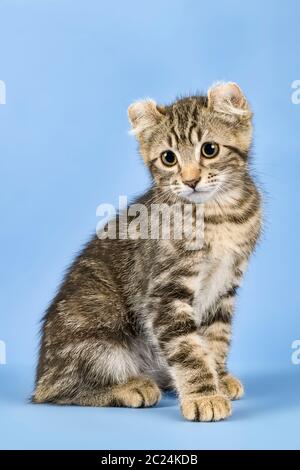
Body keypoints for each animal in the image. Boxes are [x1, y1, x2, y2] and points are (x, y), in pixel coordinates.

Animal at [33, 81, 262, 422]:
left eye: (209, 149)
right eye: (168, 158)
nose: (191, 180)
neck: (218, 214)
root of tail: (42, 373)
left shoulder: (226, 285)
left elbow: (215, 337)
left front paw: (218, 378)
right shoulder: (165, 291)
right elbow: (187, 348)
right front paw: (204, 395)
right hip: (97, 320)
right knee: (57, 390)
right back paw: (129, 387)